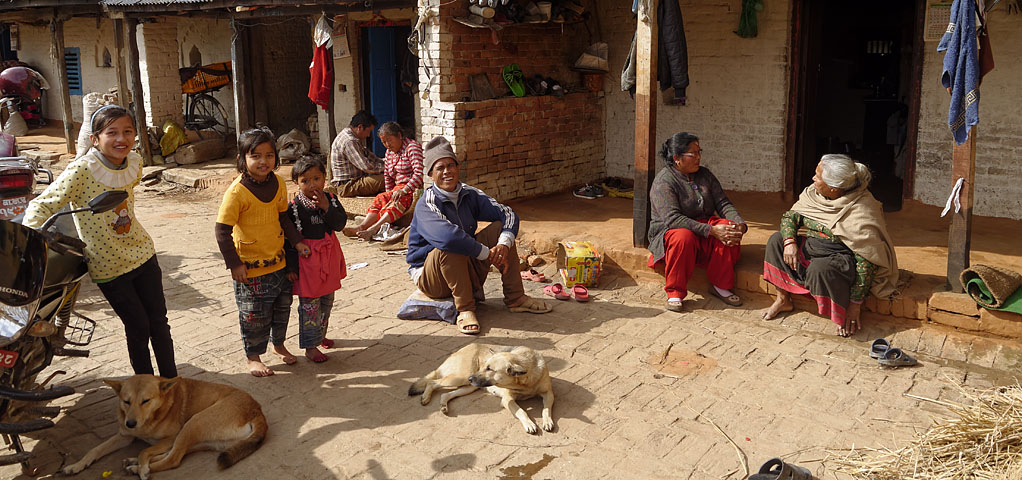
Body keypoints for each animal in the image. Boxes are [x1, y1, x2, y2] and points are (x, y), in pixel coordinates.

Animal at [59, 375, 267, 480]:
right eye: (126, 401)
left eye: (145, 401)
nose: (130, 423)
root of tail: (257, 410)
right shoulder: (124, 436)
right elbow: (95, 450)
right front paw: (76, 466)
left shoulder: (170, 437)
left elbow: (145, 451)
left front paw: (143, 469)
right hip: (203, 438)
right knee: (174, 454)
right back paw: (133, 463)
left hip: (193, 423)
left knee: (173, 459)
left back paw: (137, 467)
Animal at [406, 343, 555, 433]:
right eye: (485, 366)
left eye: (489, 369)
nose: (471, 378)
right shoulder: (507, 399)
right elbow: (521, 411)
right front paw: (529, 424)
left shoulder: (548, 394)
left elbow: (546, 409)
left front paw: (547, 421)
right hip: (461, 377)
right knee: (432, 382)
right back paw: (425, 397)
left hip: (468, 387)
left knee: (445, 394)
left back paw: (443, 405)